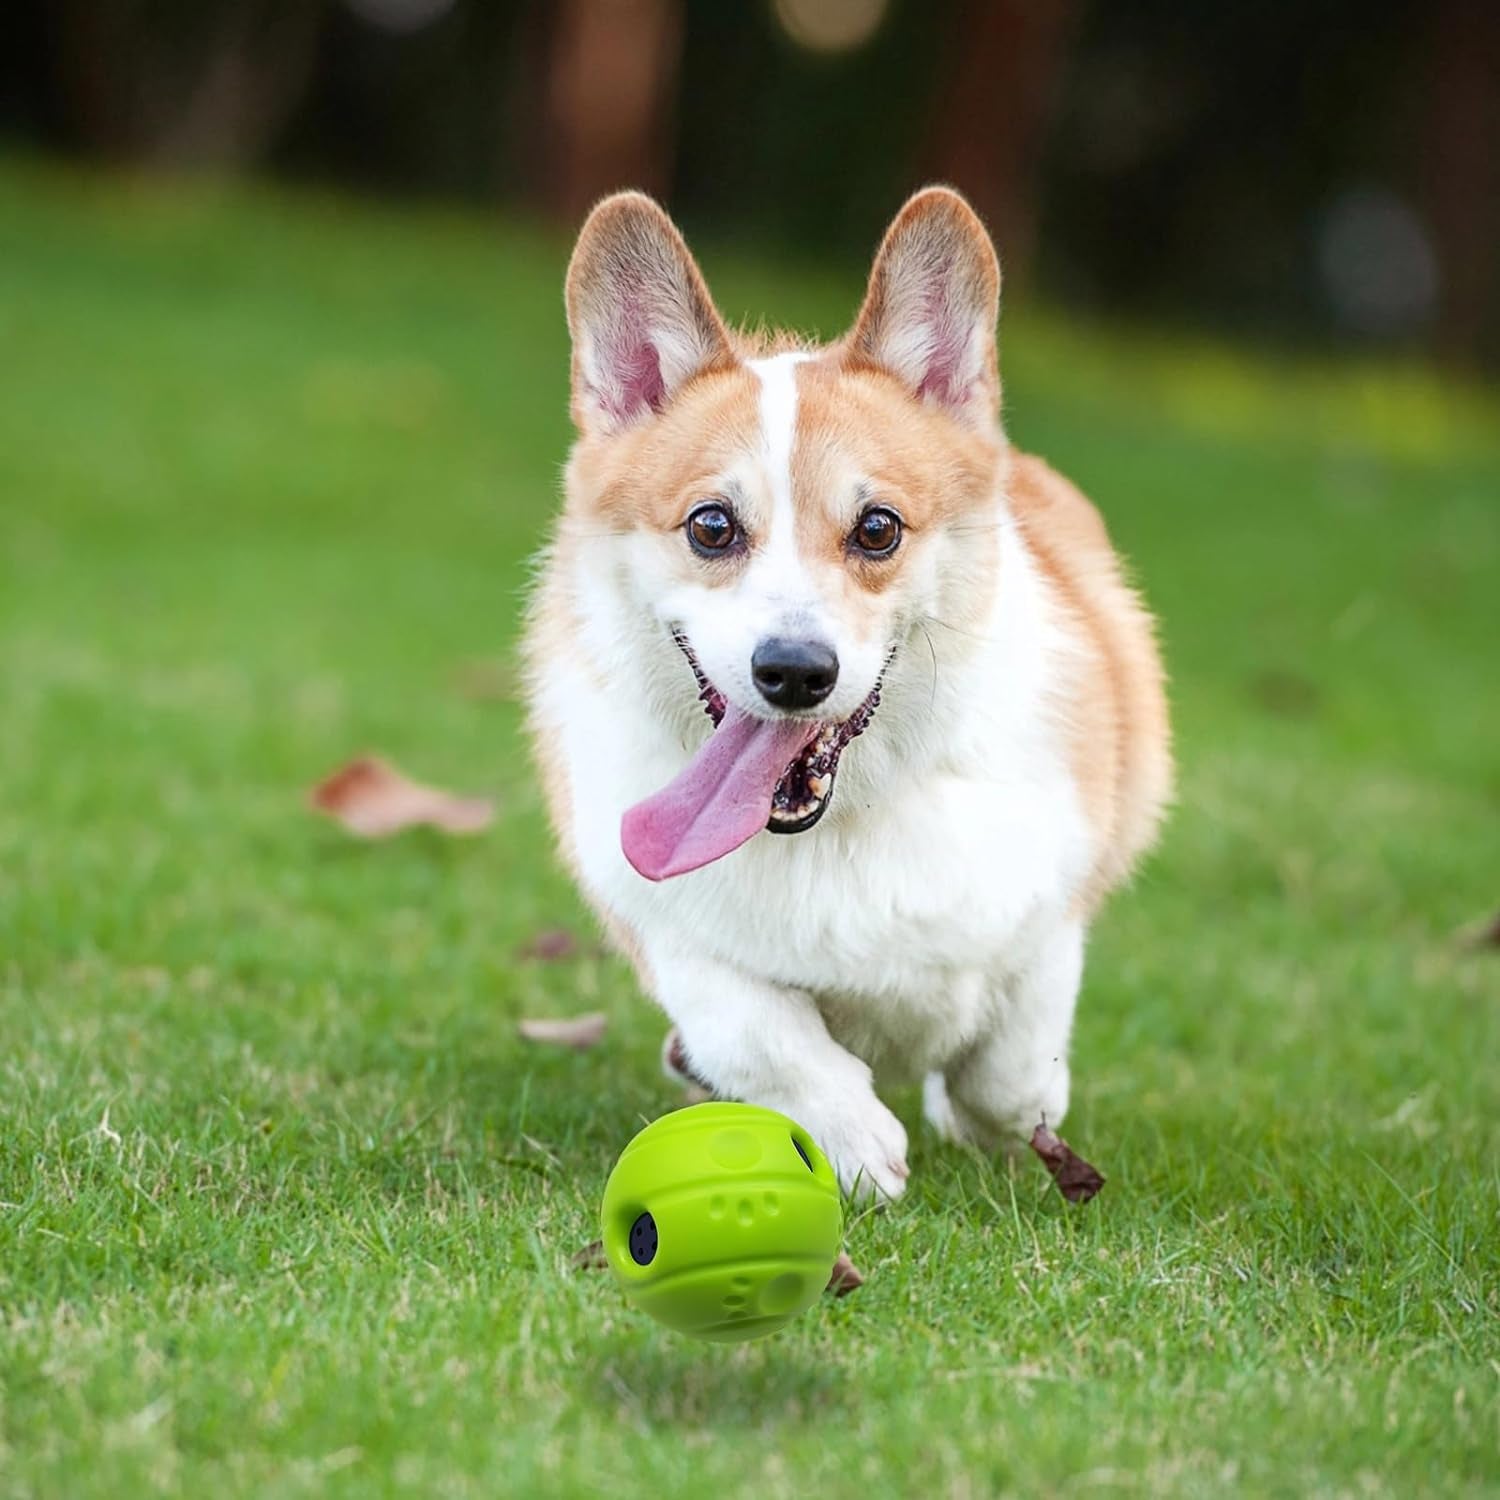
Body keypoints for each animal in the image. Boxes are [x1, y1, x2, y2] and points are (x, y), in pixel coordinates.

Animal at [528, 187, 1170, 1200]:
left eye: (878, 529)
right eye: (712, 526)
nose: (794, 672)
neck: (834, 824)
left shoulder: (1049, 909)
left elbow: (1009, 1071)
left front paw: (995, 1110)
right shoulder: (668, 927)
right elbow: (761, 1032)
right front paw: (851, 1138)